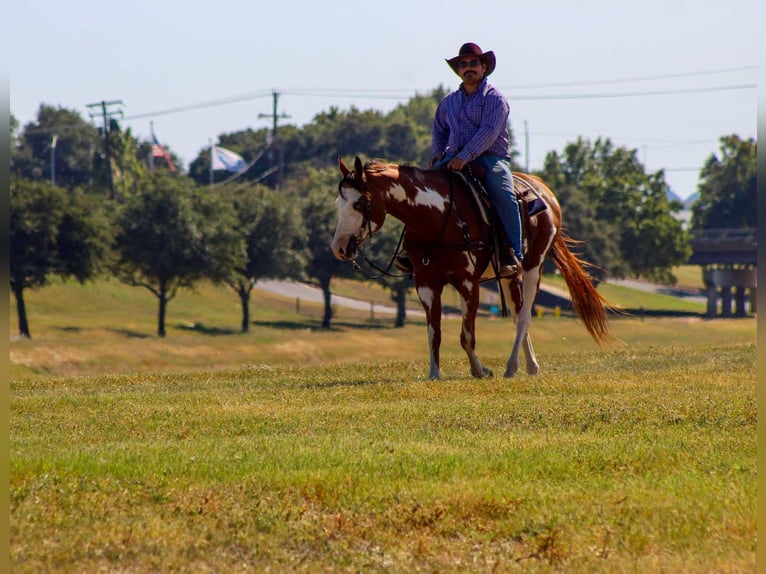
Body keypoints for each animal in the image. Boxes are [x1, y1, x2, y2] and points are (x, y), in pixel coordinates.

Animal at [330, 159, 616, 382]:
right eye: (337, 204)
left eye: (359, 204)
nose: (339, 248)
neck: (438, 218)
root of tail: (544, 191)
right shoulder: (426, 284)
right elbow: (434, 333)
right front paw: (434, 374)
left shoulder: (468, 283)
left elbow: (467, 336)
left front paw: (480, 371)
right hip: (510, 275)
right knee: (517, 314)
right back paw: (530, 366)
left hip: (533, 266)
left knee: (524, 316)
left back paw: (512, 367)